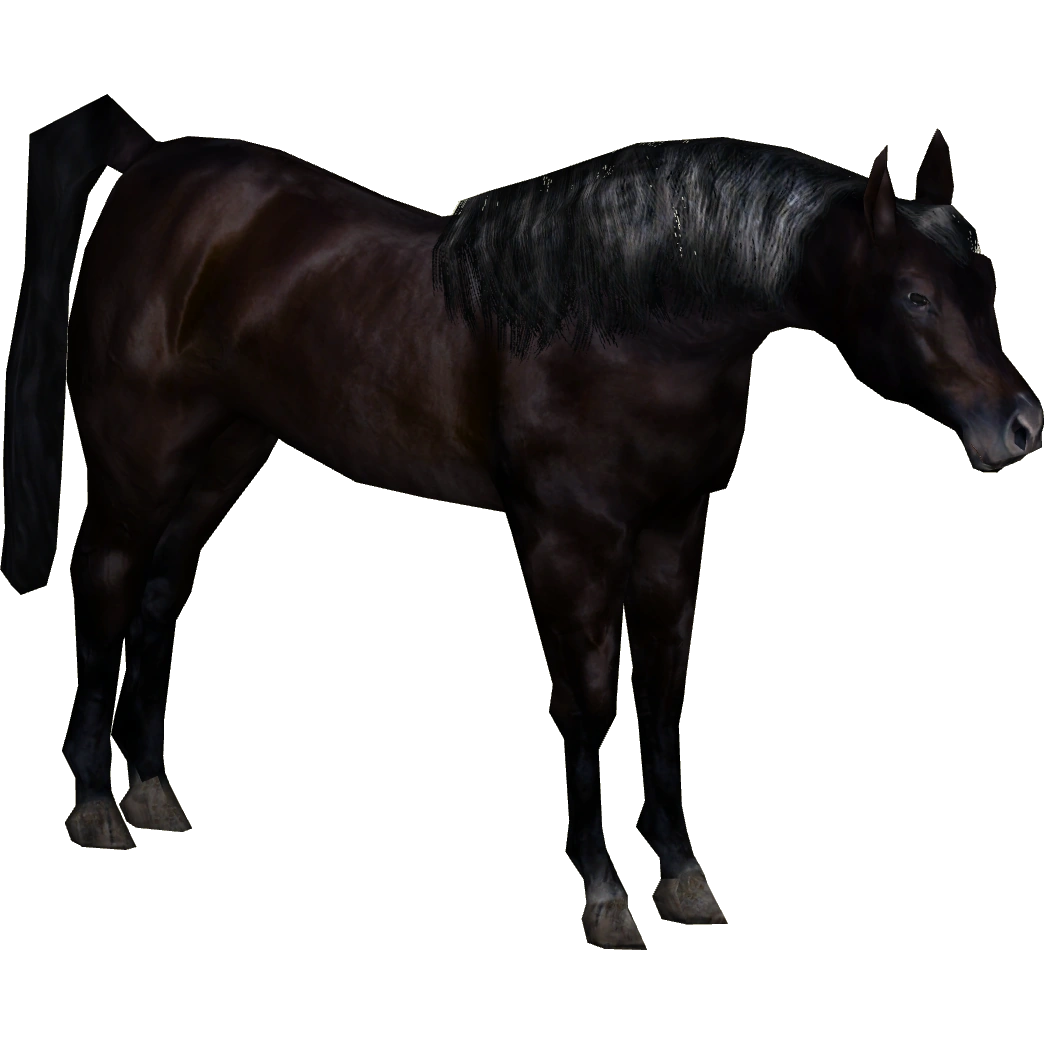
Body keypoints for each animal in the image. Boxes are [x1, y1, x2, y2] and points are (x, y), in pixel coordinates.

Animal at [2, 95, 1039, 951]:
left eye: (985, 280)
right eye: (915, 295)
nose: (1019, 427)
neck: (631, 322)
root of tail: (151, 164)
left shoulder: (673, 536)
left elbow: (663, 698)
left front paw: (684, 877)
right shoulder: (565, 542)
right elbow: (587, 702)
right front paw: (605, 893)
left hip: (222, 458)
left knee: (160, 597)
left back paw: (150, 789)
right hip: (138, 465)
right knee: (104, 590)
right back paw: (94, 807)